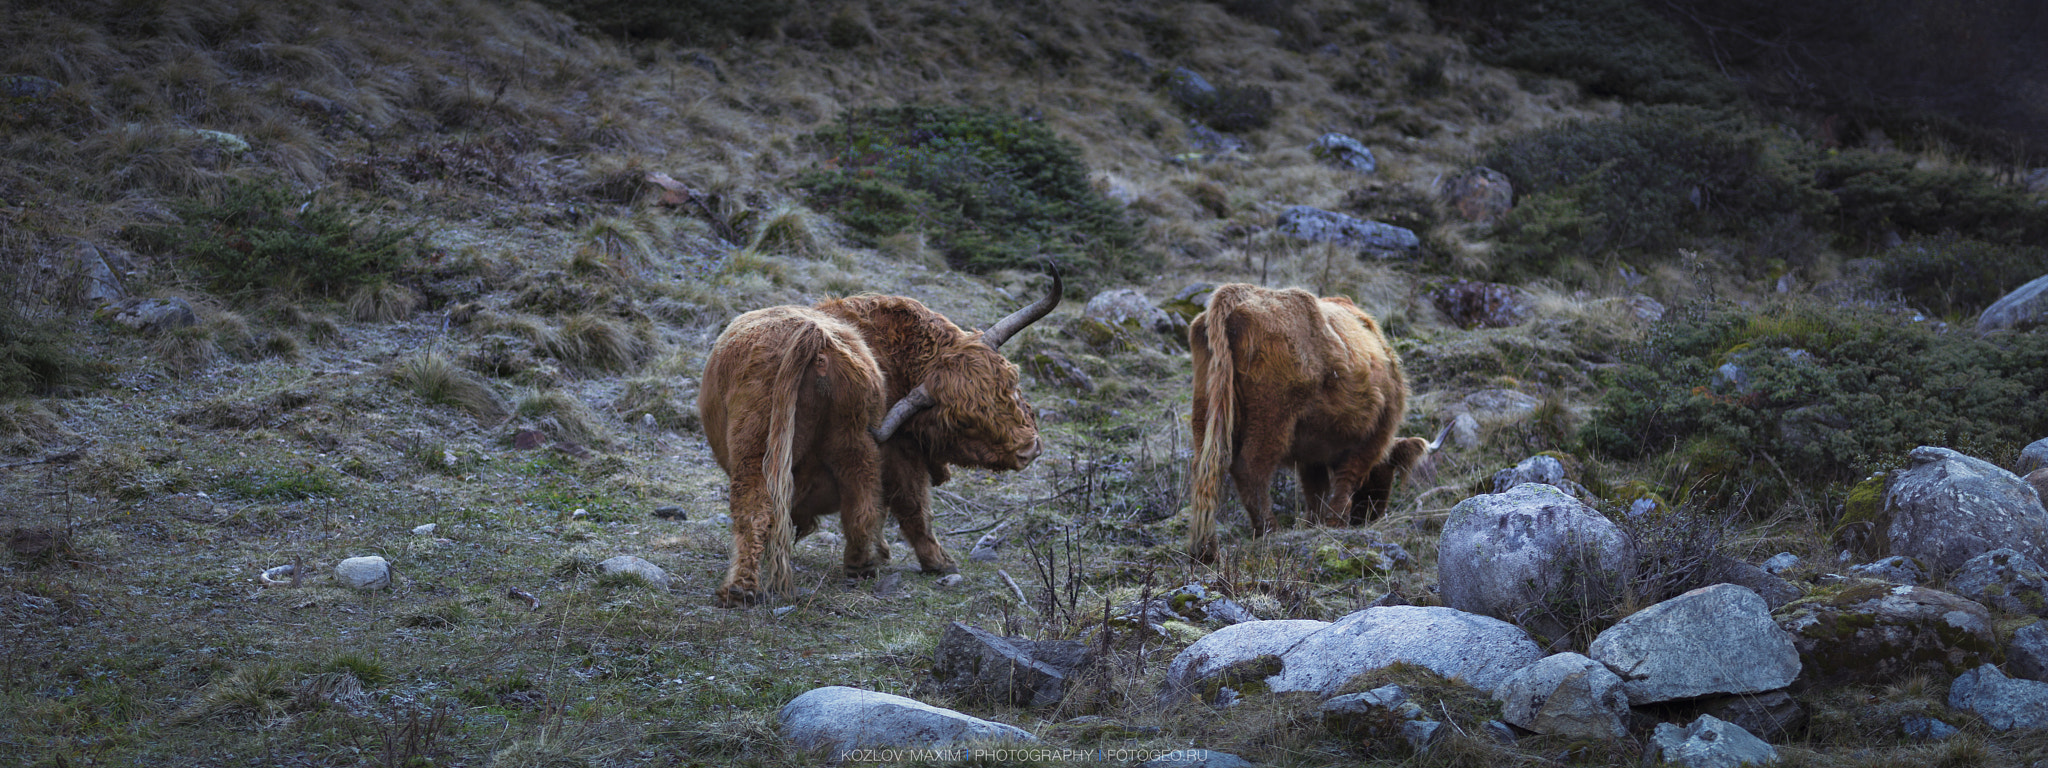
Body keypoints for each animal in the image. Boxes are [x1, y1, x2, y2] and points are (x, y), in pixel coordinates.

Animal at [700, 280, 1064, 606]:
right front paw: (935, 562)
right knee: (855, 504)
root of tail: (813, 336)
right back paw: (864, 565)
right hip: (846, 445)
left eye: (1011, 382)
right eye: (962, 420)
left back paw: (742, 589)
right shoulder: (902, 453)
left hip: (773, 445)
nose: (1028, 449)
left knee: (759, 508)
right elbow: (913, 507)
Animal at [1187, 286, 1425, 561]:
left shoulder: (1312, 453)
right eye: (1389, 470)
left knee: (1205, 469)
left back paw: (1206, 548)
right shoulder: (1372, 439)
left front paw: (1316, 523)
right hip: (1271, 416)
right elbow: (1344, 482)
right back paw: (1269, 531)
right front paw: (1335, 523)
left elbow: (1315, 490)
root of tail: (1234, 296)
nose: (1370, 516)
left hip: (1205, 408)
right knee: (1250, 469)